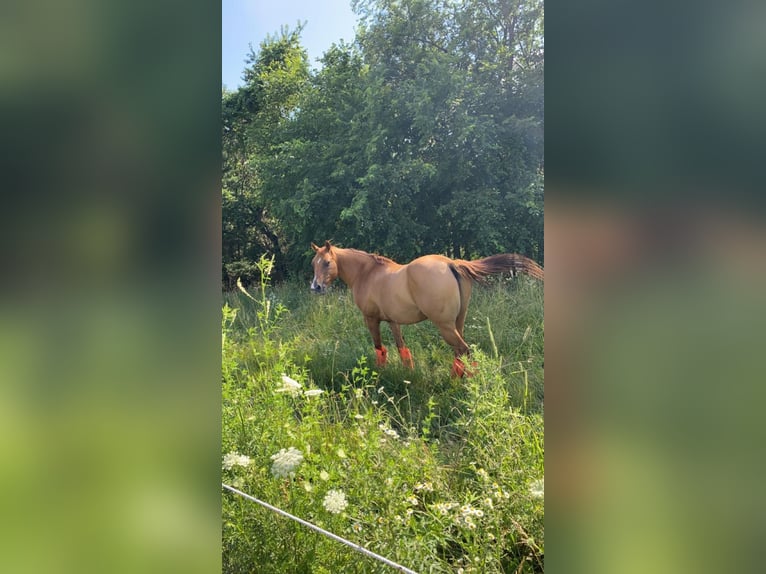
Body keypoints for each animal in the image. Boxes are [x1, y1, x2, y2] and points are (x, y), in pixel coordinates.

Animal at [308, 242, 544, 378]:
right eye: (313, 263)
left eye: (327, 262)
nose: (315, 287)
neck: (367, 273)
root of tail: (452, 263)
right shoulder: (393, 321)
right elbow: (402, 349)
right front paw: (408, 375)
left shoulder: (371, 319)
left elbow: (380, 349)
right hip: (457, 322)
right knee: (459, 353)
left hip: (445, 326)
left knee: (464, 350)